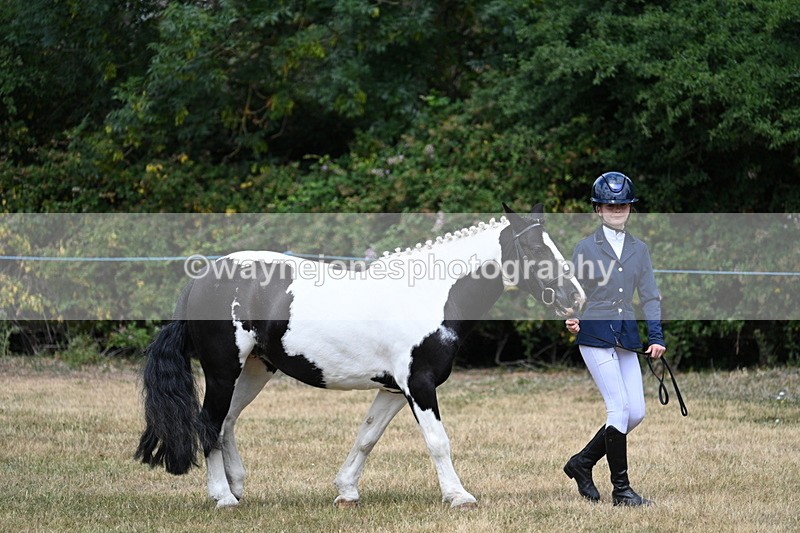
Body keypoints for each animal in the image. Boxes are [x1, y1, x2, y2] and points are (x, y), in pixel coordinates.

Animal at [134, 203, 585, 509]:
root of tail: (203, 278)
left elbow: (366, 437)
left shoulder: (392, 390)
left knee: (226, 423)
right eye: (535, 248)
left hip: (256, 372)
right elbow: (438, 441)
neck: (429, 295)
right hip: (223, 370)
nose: (575, 296)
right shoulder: (419, 385)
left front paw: (346, 491)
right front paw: (458, 495)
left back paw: (238, 488)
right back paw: (222, 497)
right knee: (209, 423)